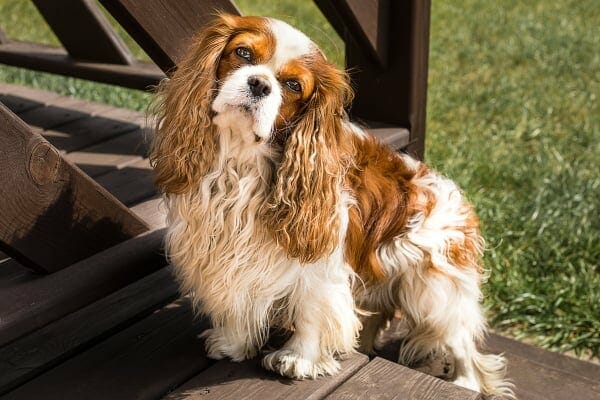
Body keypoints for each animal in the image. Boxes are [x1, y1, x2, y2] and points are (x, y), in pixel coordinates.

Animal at [149, 14, 510, 398]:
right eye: (242, 53)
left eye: (293, 85)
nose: (259, 84)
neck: (241, 161)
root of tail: (457, 196)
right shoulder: (223, 251)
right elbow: (235, 300)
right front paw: (232, 343)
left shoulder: (320, 262)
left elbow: (312, 308)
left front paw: (299, 359)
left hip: (435, 292)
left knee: (463, 346)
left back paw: (463, 383)